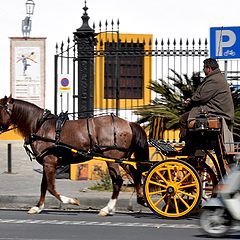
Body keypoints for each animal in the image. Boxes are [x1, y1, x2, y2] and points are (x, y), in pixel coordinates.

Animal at [0, 96, 150, 216]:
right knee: (135, 174)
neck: (40, 127)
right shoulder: (46, 163)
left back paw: (107, 208)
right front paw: (38, 207)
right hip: (122, 159)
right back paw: (140, 199)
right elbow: (44, 186)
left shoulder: (50, 162)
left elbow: (51, 188)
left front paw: (71, 201)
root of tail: (129, 123)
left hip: (112, 159)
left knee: (118, 181)